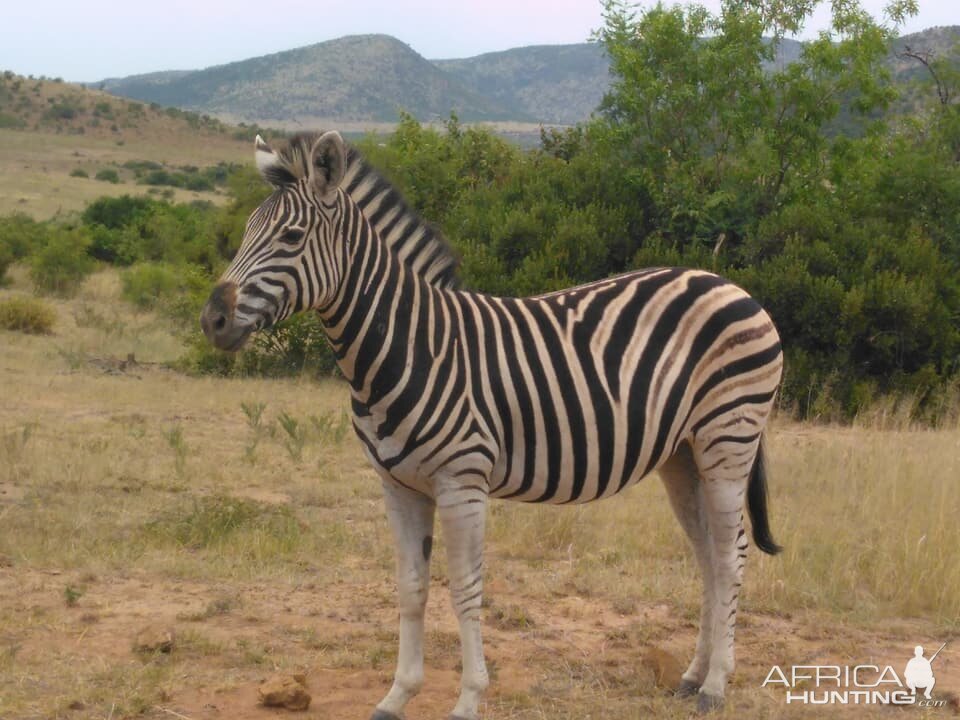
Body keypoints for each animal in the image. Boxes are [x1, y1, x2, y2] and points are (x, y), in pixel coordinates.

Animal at [201, 132, 780, 716]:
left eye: (292, 236)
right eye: (247, 231)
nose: (213, 321)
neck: (410, 345)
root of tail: (727, 284)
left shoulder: (462, 483)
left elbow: (464, 588)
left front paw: (468, 698)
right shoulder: (397, 485)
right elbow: (411, 587)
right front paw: (397, 694)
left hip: (728, 438)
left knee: (731, 555)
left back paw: (715, 685)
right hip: (682, 455)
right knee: (708, 556)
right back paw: (692, 675)